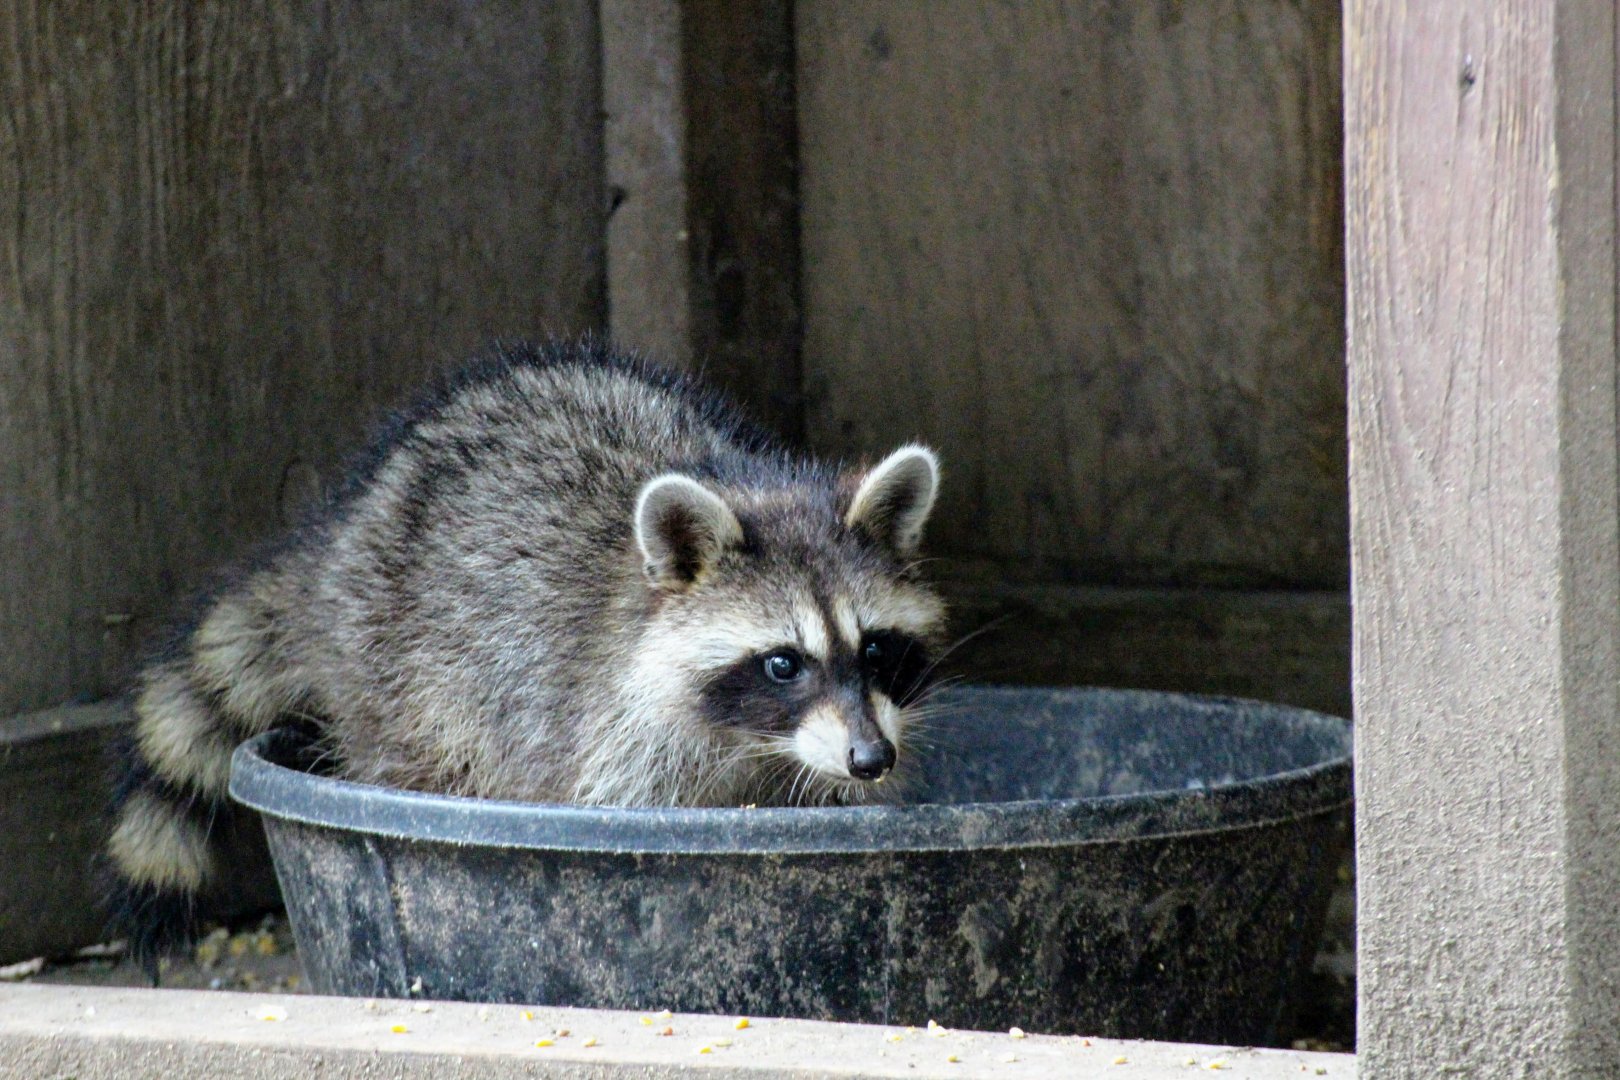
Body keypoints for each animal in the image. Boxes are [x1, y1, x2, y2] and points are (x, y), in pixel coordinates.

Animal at [105, 337, 947, 971]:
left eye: (877, 648)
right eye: (783, 663)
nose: (871, 758)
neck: (755, 743)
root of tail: (337, 536)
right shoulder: (609, 734)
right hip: (391, 662)